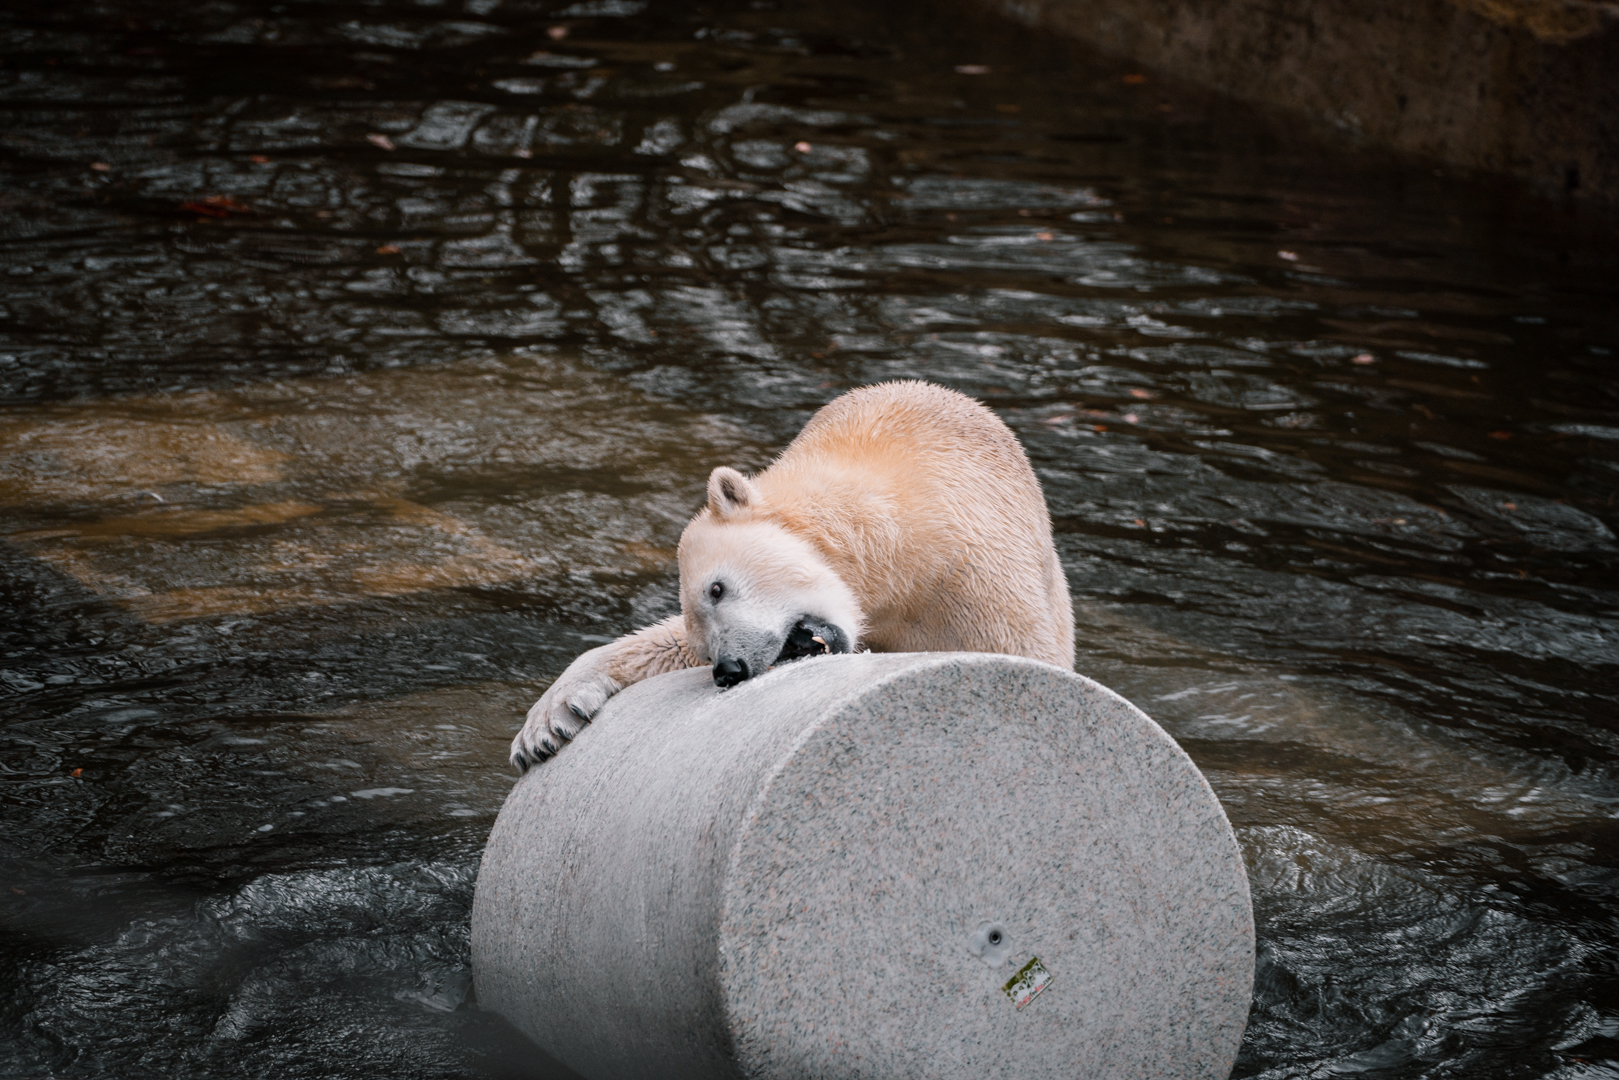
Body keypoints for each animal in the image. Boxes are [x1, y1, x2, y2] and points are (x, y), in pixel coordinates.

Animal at [510, 379, 1075, 771]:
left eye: (717, 588)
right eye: (702, 646)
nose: (729, 668)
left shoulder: (976, 577)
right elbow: (656, 644)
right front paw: (547, 723)